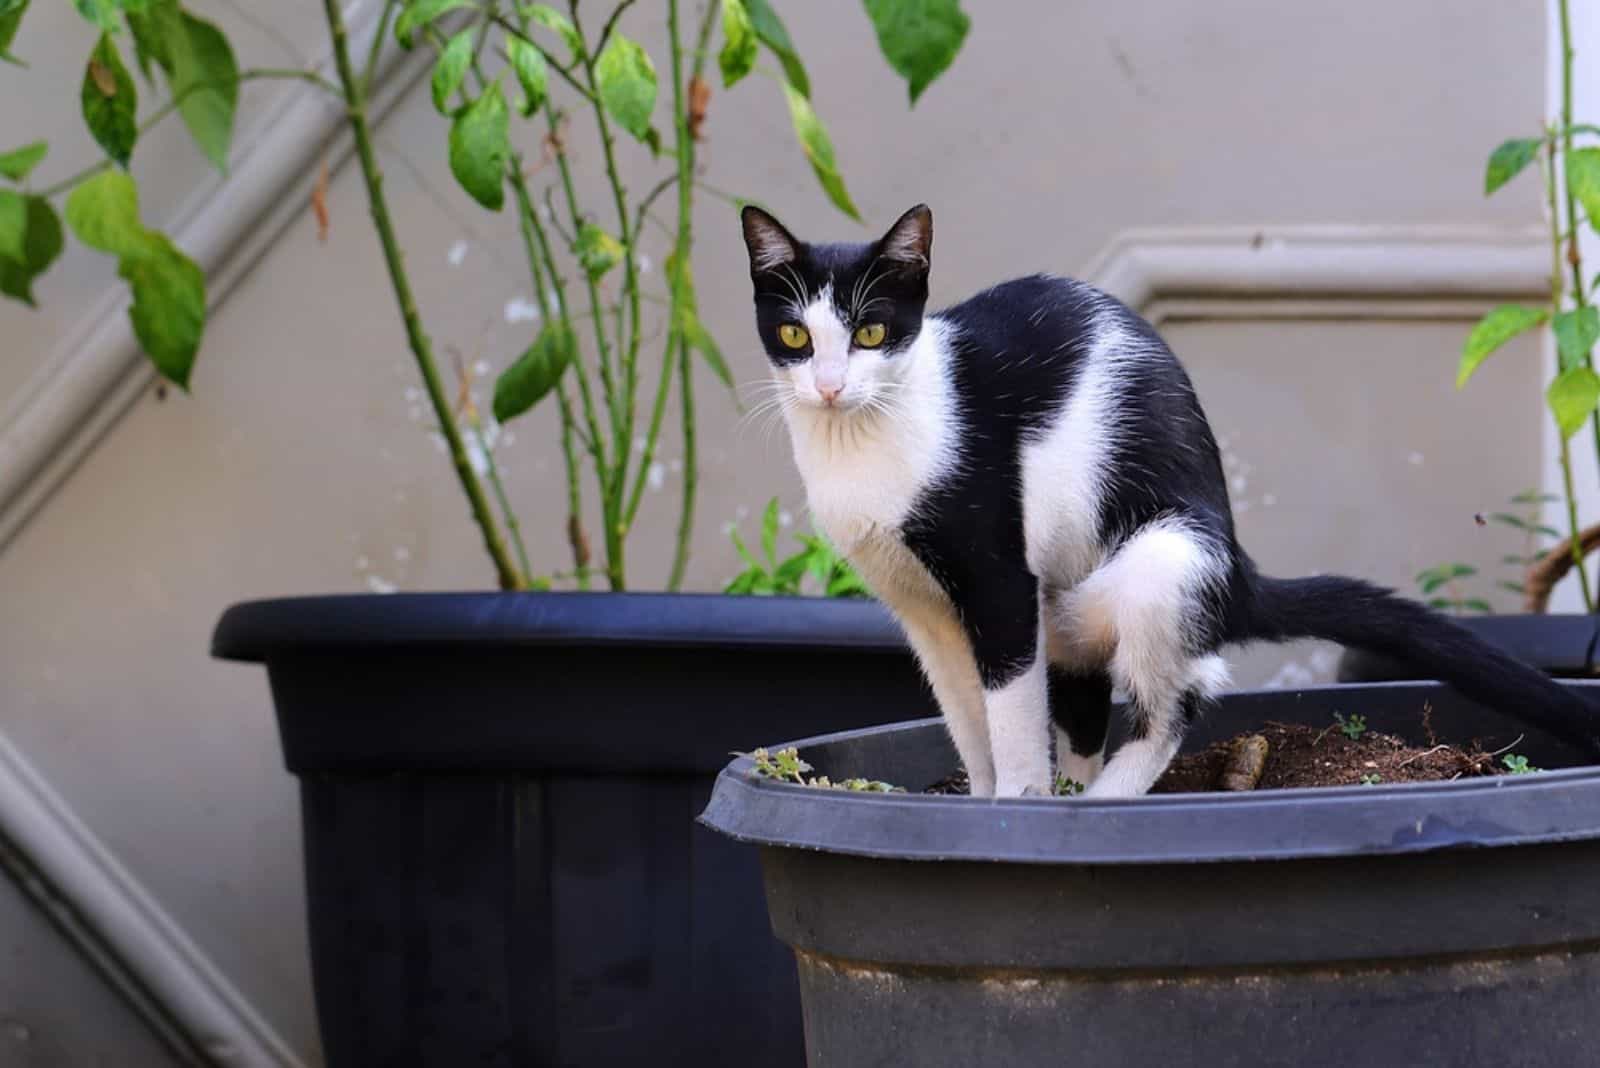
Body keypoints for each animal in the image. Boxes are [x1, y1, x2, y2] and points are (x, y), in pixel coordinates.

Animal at [736, 204, 1600, 796]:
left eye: (872, 332)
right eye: (795, 337)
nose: (829, 386)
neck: (864, 442)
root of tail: (1236, 572)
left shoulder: (999, 583)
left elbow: (1009, 715)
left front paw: (1013, 809)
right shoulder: (923, 611)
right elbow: (965, 714)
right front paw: (974, 802)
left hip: (1158, 565)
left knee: (1180, 698)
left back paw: (1106, 801)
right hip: (1070, 600)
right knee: (1086, 698)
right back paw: (1079, 788)